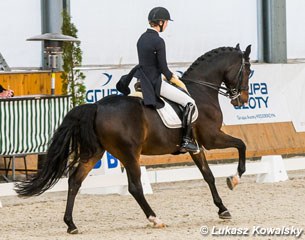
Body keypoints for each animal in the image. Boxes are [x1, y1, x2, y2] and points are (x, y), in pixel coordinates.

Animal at [14, 44, 252, 233]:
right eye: (248, 71)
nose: (241, 100)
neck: (201, 90)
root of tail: (96, 106)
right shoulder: (212, 139)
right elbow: (241, 145)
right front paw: (234, 178)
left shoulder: (196, 146)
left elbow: (208, 175)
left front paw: (223, 209)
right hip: (129, 154)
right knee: (135, 187)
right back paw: (155, 219)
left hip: (95, 152)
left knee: (75, 180)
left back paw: (71, 224)